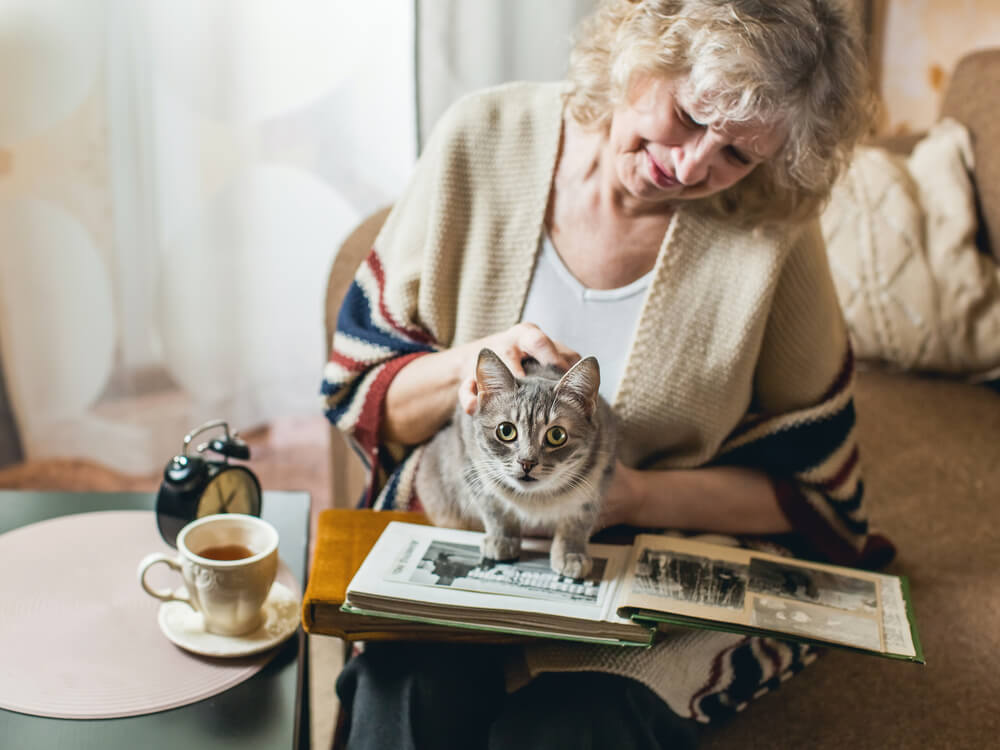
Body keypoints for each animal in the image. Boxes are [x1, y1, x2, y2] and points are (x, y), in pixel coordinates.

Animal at [414, 350, 616, 580]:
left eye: (557, 435)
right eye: (506, 430)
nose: (527, 462)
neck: (535, 498)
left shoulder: (596, 481)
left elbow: (577, 522)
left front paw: (571, 554)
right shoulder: (473, 468)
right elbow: (495, 512)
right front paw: (501, 539)